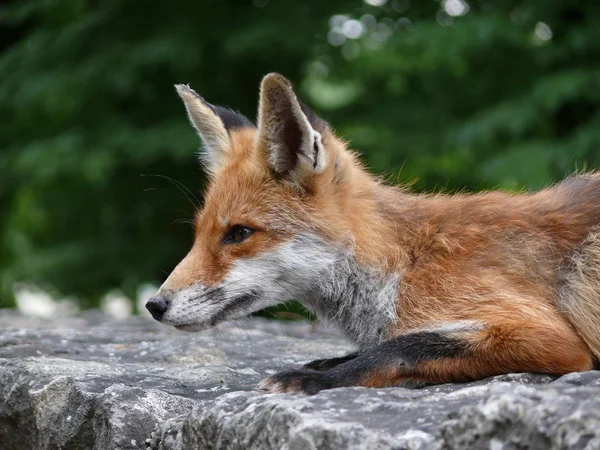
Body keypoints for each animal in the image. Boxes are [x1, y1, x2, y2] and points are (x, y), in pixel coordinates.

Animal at [146, 71, 600, 394]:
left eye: (239, 233)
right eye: (199, 233)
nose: (154, 305)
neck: (404, 263)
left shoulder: (544, 335)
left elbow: (399, 349)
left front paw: (317, 380)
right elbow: (369, 350)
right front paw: (324, 365)